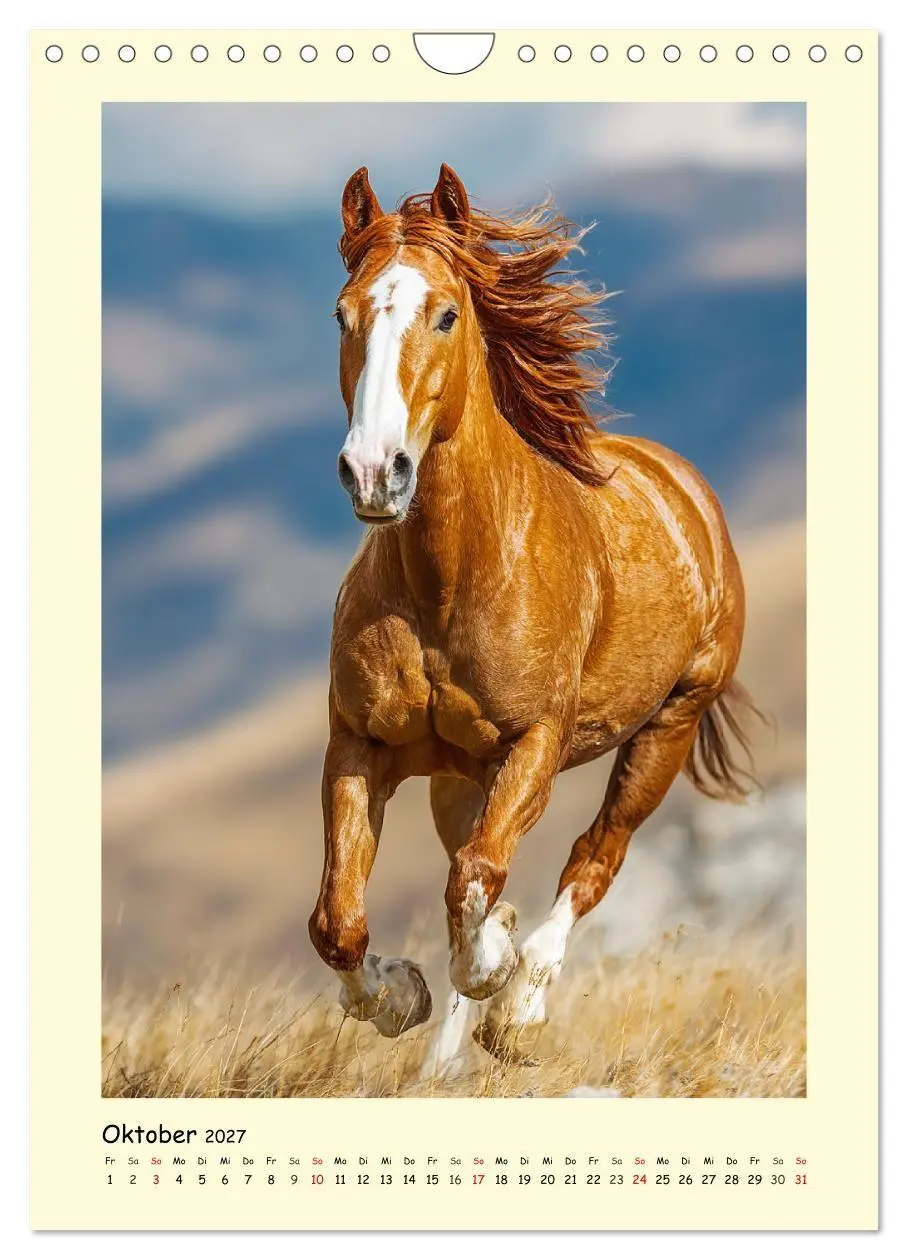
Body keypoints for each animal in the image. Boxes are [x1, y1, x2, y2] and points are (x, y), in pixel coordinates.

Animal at [308, 163, 758, 1074]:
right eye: (343, 313)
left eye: (446, 313)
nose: (373, 472)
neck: (450, 583)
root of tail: (686, 488)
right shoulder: (359, 744)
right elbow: (338, 919)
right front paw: (399, 995)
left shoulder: (534, 745)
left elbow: (481, 878)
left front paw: (497, 968)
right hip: (456, 774)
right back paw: (446, 1057)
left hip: (669, 727)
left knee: (594, 858)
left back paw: (519, 1009)